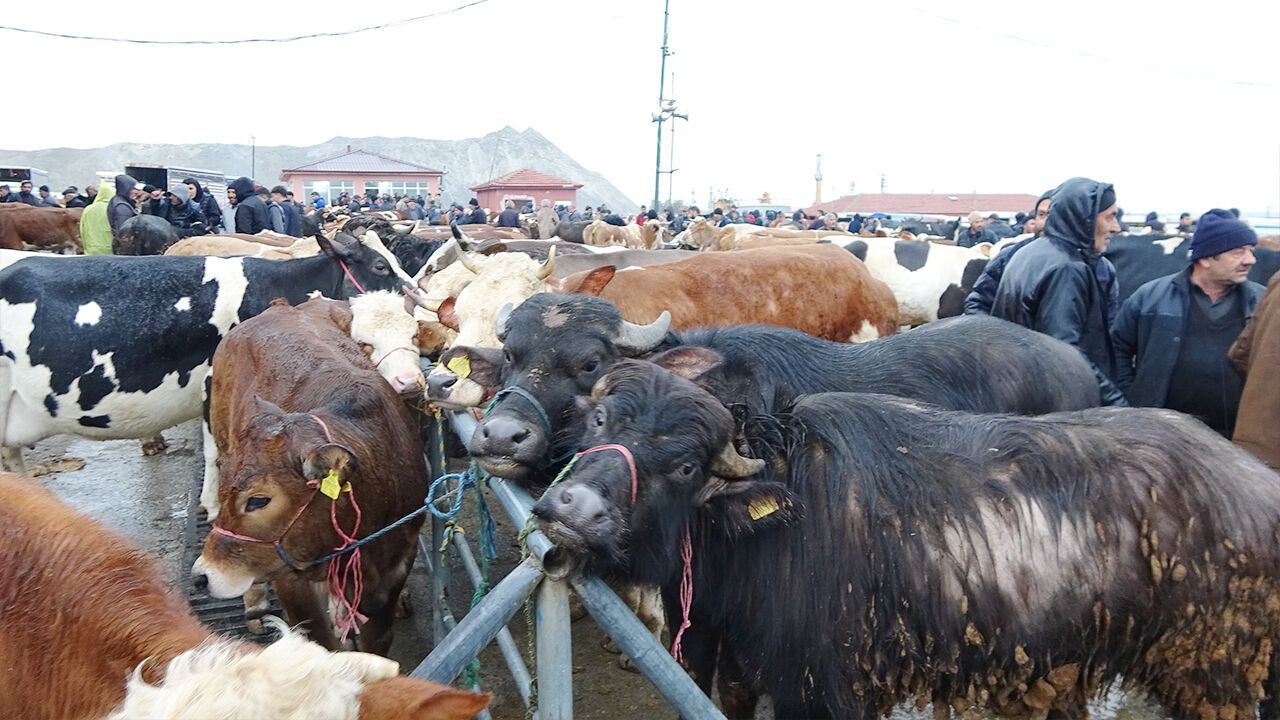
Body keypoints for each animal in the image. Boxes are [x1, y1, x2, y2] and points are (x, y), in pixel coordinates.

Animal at [532, 359, 1280, 720]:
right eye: (601, 420)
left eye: (685, 465)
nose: (572, 507)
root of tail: (1257, 488)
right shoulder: (741, 670)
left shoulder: (822, 692)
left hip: (1212, 680)